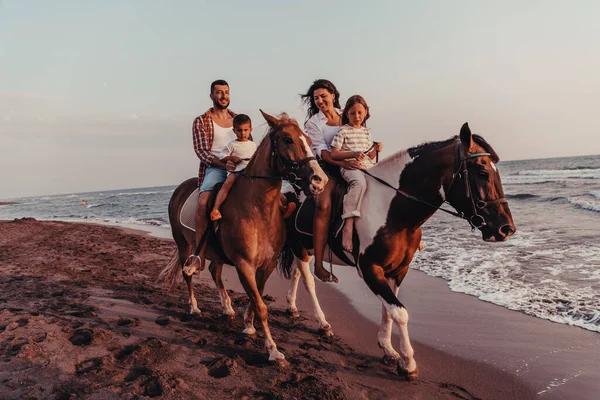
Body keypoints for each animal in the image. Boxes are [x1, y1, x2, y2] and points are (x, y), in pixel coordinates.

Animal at [158, 111, 328, 364]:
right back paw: (194, 307)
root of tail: (179, 189)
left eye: (307, 138)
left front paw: (248, 324)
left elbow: (256, 299)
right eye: (287, 139)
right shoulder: (243, 264)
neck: (257, 209)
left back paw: (227, 308)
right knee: (188, 273)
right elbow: (261, 305)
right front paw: (273, 350)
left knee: (215, 271)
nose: (320, 180)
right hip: (184, 245)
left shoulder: (267, 264)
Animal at [280, 123, 516, 380]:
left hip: (305, 248)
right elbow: (399, 312)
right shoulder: (370, 269)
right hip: (300, 247)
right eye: (482, 173)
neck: (392, 211)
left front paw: (388, 349)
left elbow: (388, 310)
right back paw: (322, 323)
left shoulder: (397, 270)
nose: (506, 229)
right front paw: (408, 363)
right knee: (309, 282)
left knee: (296, 274)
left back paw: (292, 307)